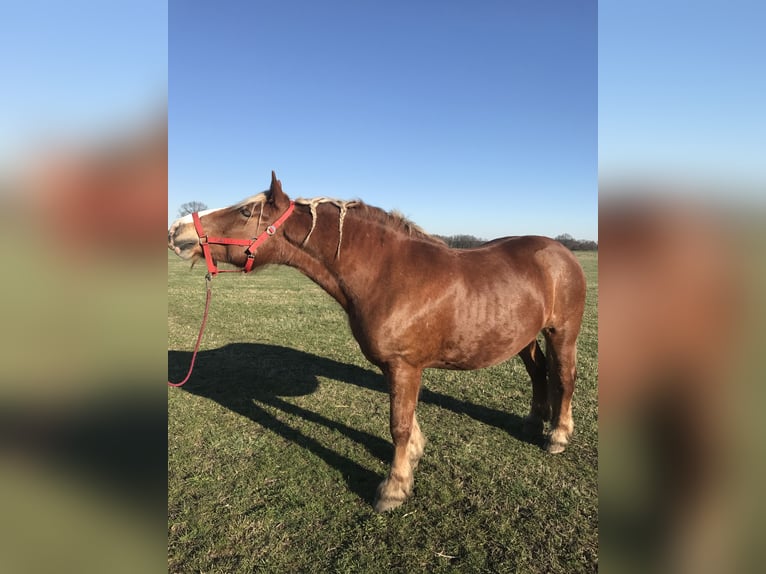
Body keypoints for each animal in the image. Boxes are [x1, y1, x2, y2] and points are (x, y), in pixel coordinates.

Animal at [170, 172, 588, 512]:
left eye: (245, 212)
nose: (178, 230)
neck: (388, 274)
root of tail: (560, 252)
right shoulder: (396, 366)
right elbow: (406, 420)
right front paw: (414, 455)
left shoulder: (405, 365)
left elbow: (398, 424)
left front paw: (394, 488)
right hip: (523, 338)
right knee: (538, 374)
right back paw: (533, 422)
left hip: (562, 333)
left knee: (564, 379)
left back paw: (557, 436)